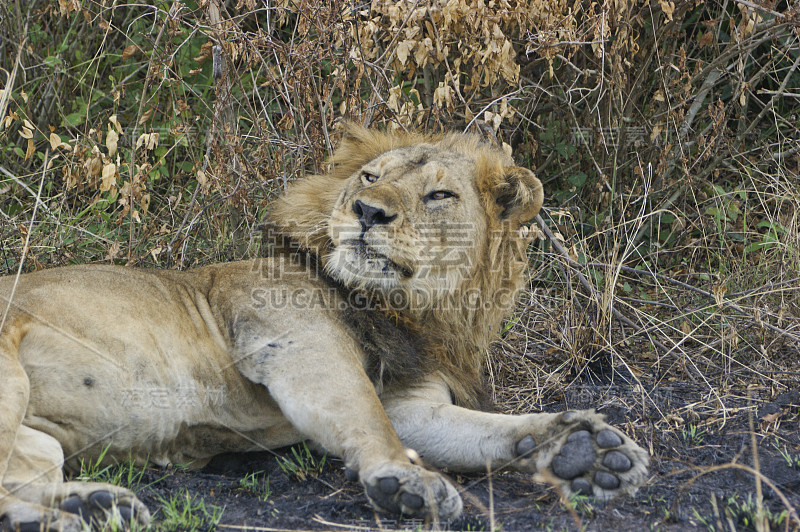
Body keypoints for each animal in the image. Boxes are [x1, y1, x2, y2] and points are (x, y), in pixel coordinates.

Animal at [0, 125, 648, 532]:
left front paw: (586, 452)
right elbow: (367, 421)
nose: (368, 212)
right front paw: (406, 482)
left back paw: (91, 506)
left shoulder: (415, 404)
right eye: (369, 178)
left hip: (41, 440)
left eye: (439, 194)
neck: (410, 308)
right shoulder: (298, 345)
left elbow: (487, 432)